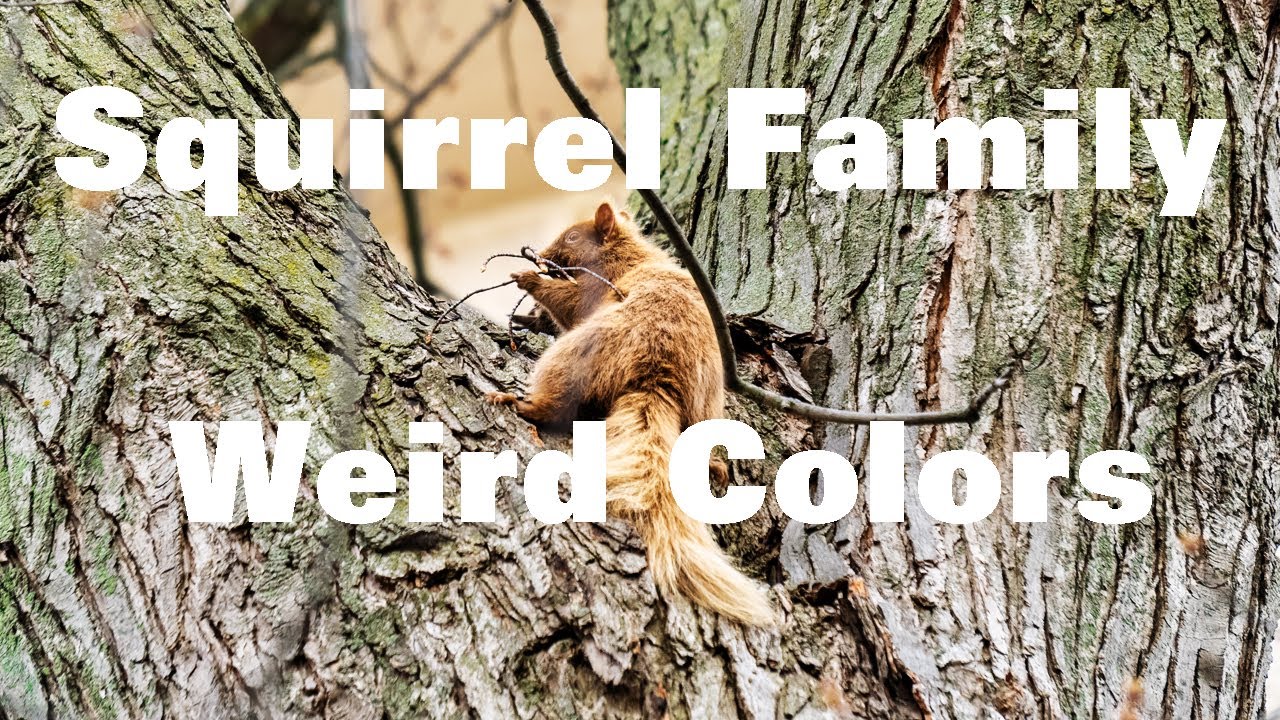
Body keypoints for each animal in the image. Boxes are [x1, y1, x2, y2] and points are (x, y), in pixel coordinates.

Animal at [487, 201, 775, 626]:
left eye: (573, 237)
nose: (539, 254)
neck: (627, 254)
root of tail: (657, 378)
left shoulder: (599, 285)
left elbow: (569, 303)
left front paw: (528, 280)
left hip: (580, 351)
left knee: (555, 400)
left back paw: (520, 403)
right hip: (706, 402)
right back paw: (715, 465)